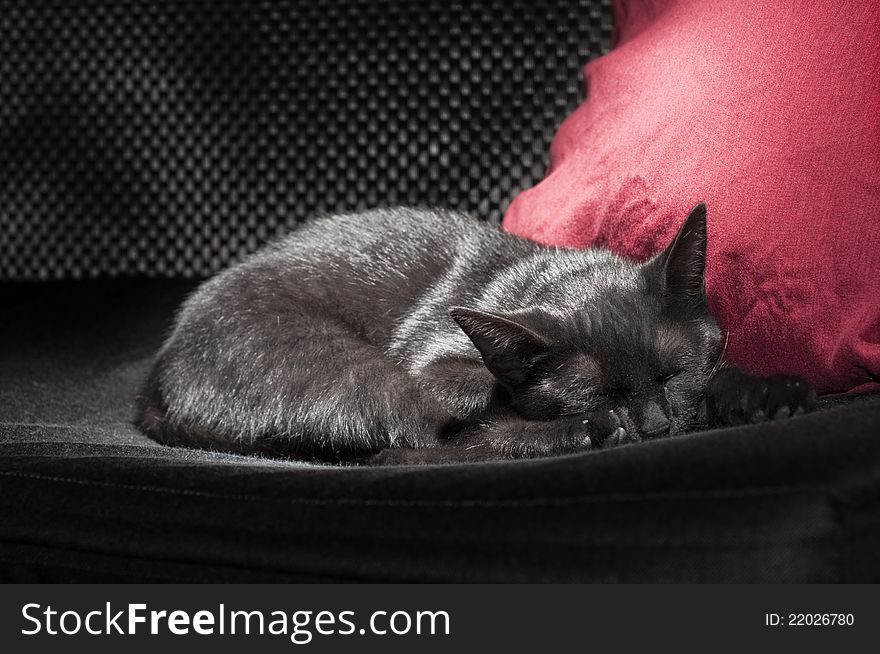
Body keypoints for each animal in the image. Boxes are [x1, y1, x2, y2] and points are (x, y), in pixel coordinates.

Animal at [134, 202, 816, 464]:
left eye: (673, 373)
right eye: (594, 390)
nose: (651, 426)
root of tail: (159, 372)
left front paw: (762, 390)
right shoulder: (434, 360)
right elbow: (476, 417)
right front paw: (588, 419)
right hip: (343, 370)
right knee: (418, 444)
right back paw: (585, 434)